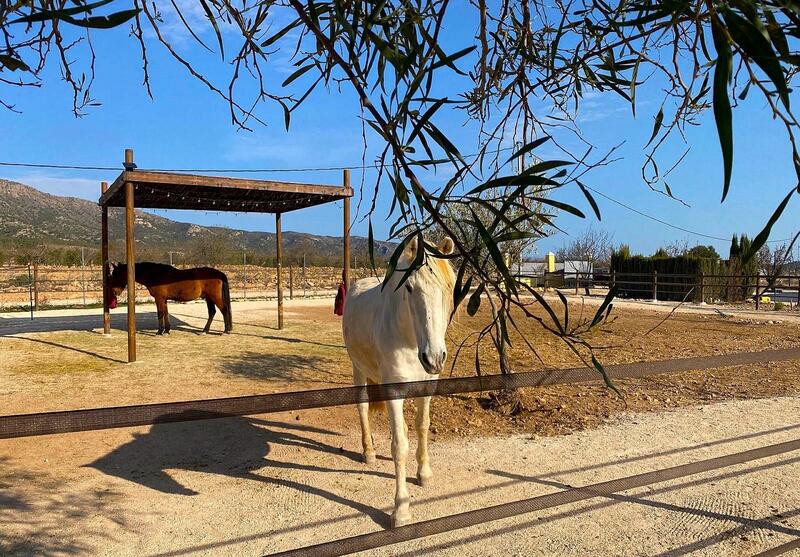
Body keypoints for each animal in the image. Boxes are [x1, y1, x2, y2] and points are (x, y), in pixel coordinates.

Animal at [342, 233, 456, 524]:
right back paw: (369, 453)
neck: (409, 339)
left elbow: (422, 426)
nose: (434, 358)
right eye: (409, 288)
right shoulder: (394, 391)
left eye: (447, 288)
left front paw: (424, 474)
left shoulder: (427, 387)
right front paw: (401, 509)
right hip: (358, 369)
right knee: (362, 408)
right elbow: (400, 445)